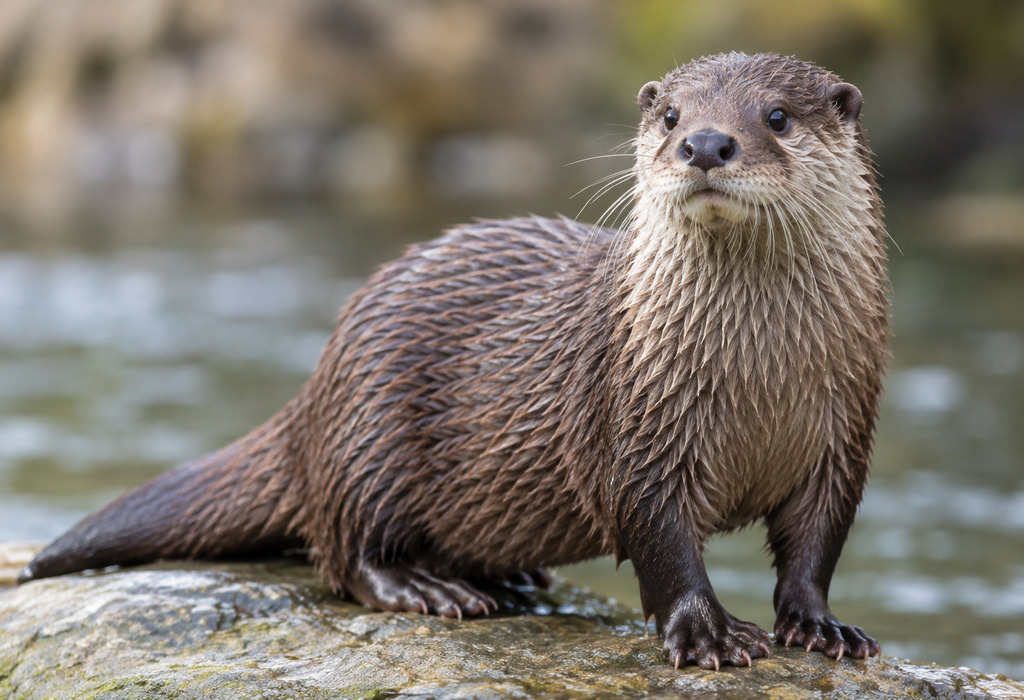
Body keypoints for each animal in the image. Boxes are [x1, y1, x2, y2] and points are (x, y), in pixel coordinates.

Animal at [20, 52, 888, 670]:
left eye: (777, 116)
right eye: (673, 114)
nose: (705, 143)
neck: (759, 381)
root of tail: (315, 395)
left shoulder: (844, 433)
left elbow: (817, 542)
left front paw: (823, 626)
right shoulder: (633, 424)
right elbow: (661, 538)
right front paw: (706, 633)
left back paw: (508, 577)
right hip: (371, 429)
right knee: (346, 552)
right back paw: (427, 588)